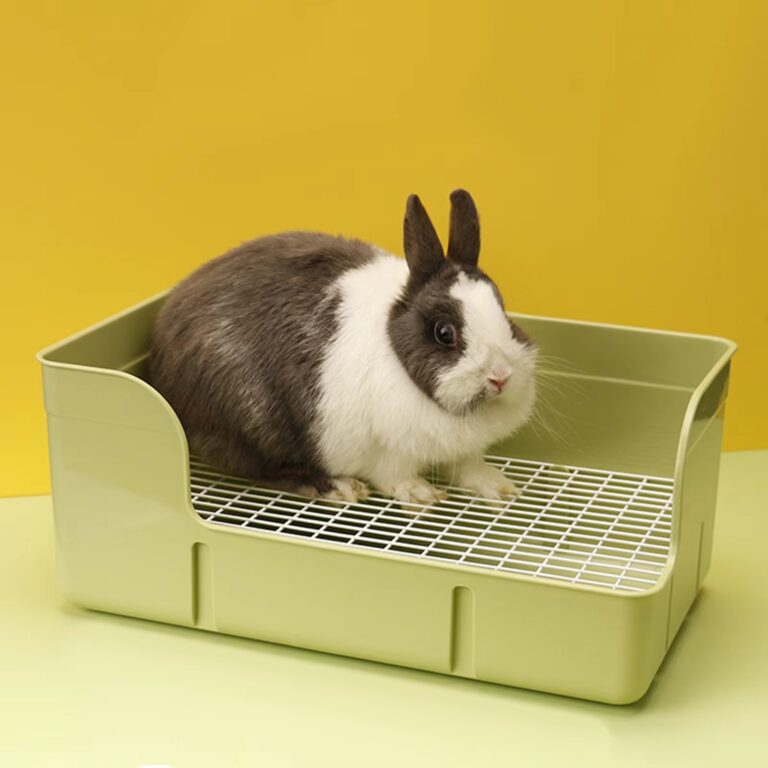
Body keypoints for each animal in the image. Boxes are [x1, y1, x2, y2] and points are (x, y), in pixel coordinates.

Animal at [149, 189, 537, 504]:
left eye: (503, 311)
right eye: (444, 333)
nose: (500, 377)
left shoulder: (462, 450)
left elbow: (469, 466)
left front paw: (500, 487)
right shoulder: (384, 451)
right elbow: (394, 474)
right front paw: (421, 494)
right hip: (250, 421)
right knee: (264, 468)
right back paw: (337, 486)